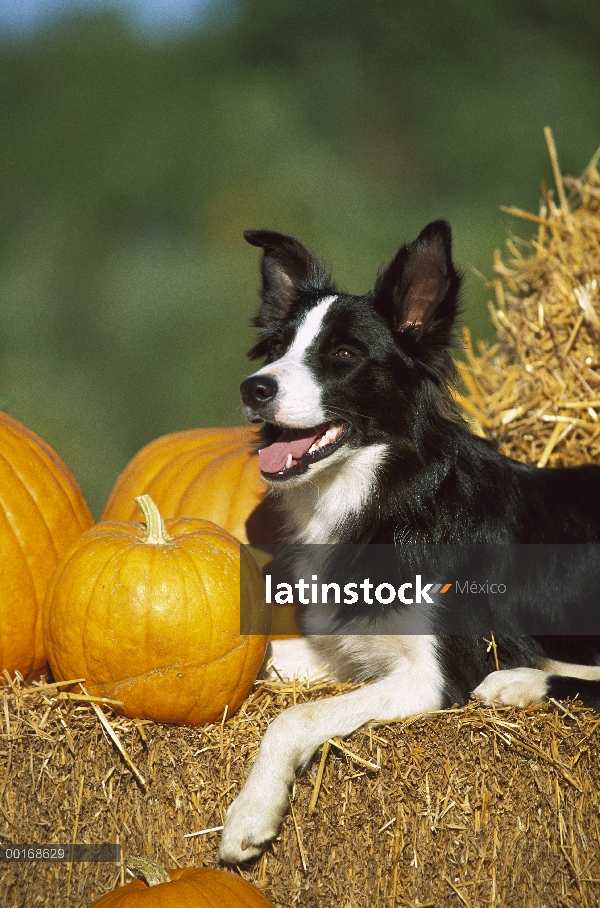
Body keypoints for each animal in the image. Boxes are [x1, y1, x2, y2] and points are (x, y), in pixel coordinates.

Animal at [219, 223, 600, 860]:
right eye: (276, 348)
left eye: (344, 354)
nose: (254, 389)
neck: (389, 499)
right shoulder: (347, 648)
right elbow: (268, 662)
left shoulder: (433, 677)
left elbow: (294, 718)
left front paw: (250, 813)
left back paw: (518, 682)